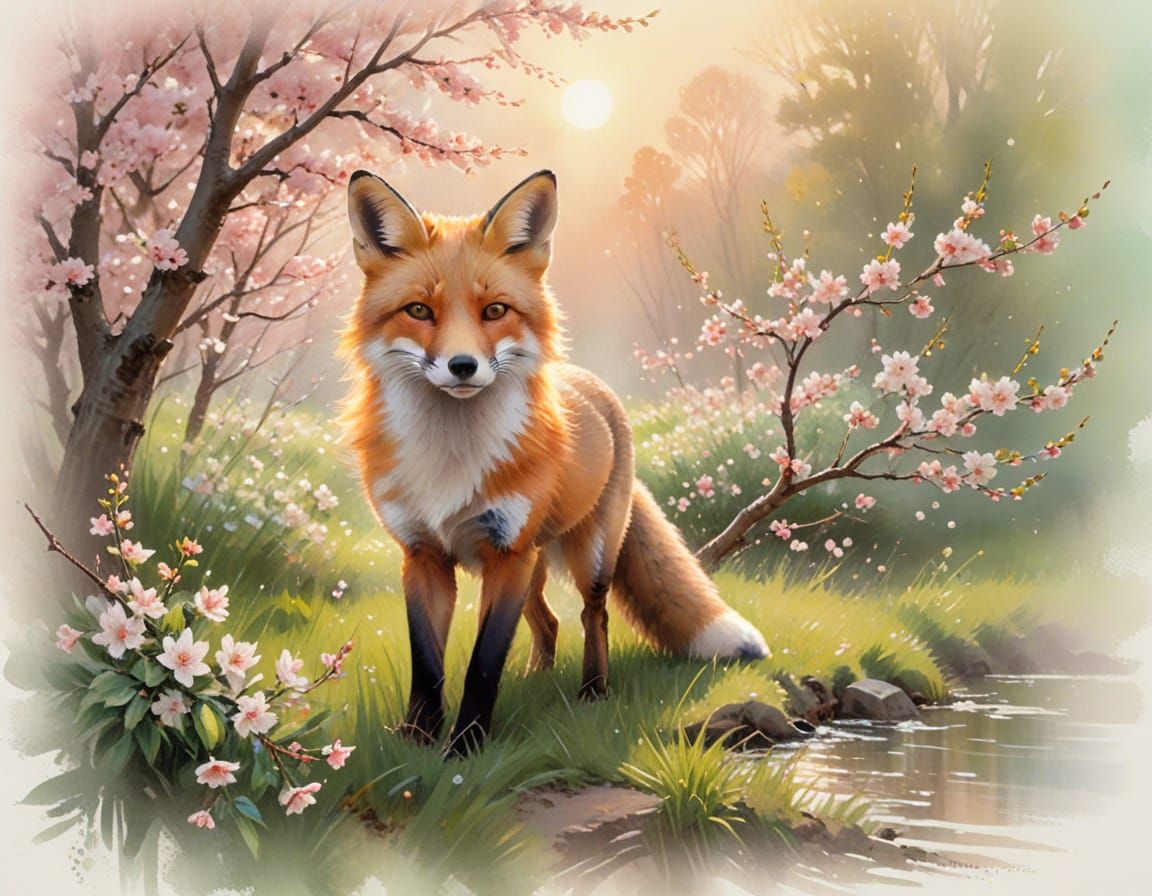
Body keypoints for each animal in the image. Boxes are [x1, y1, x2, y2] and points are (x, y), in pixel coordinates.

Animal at [342, 168, 768, 754]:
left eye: (495, 310)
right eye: (420, 311)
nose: (462, 366)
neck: (452, 455)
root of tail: (592, 384)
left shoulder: (507, 554)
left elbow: (482, 664)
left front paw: (465, 748)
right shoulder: (424, 555)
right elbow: (427, 664)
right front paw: (416, 740)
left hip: (586, 556)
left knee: (594, 617)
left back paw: (592, 693)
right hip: (532, 566)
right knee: (548, 624)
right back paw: (536, 681)